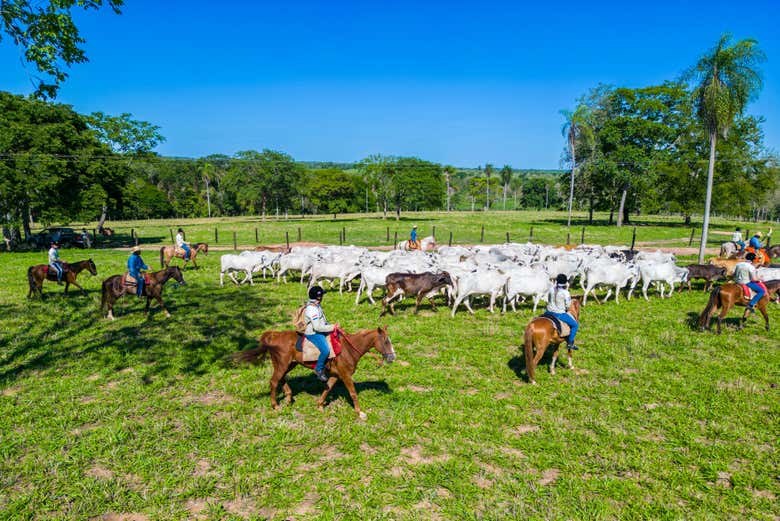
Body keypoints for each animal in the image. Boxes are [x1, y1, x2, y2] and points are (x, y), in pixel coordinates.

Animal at [229, 324, 394, 418]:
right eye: (386, 341)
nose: (392, 357)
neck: (348, 349)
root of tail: (273, 335)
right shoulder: (346, 375)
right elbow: (353, 393)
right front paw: (360, 412)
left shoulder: (336, 375)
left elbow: (328, 388)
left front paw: (320, 405)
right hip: (282, 364)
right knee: (274, 381)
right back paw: (276, 405)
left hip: (288, 364)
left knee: (281, 379)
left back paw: (288, 398)